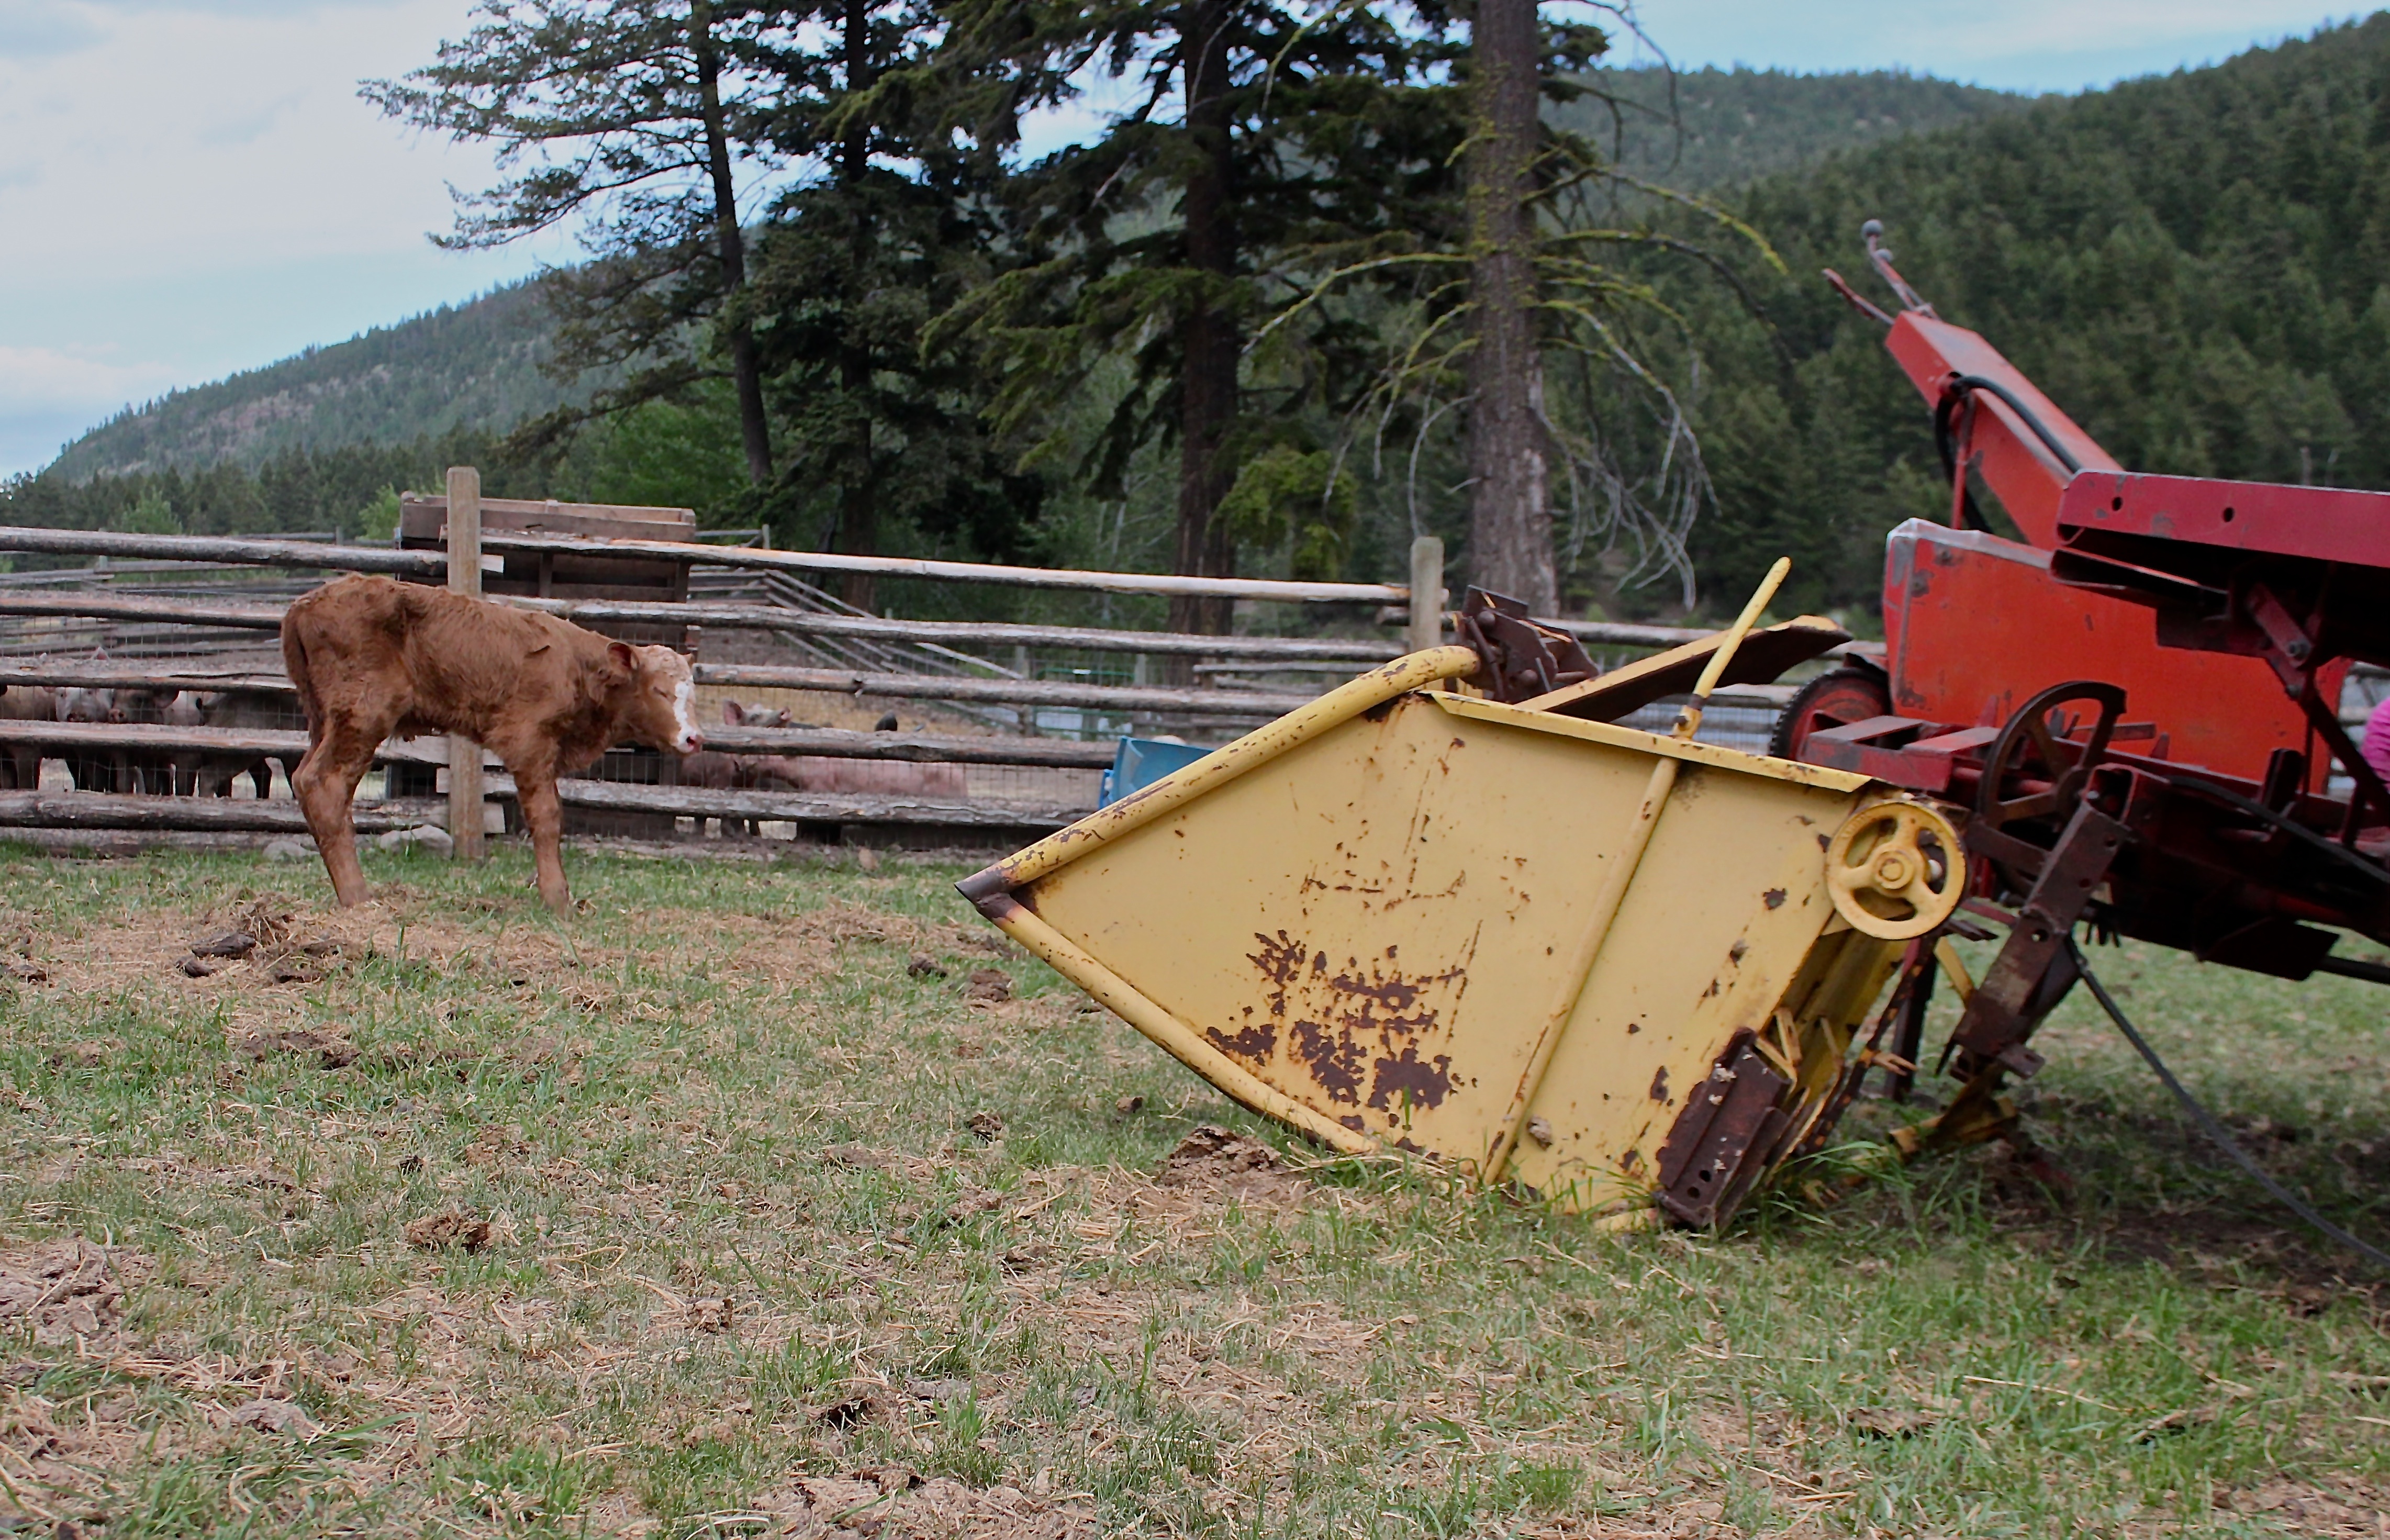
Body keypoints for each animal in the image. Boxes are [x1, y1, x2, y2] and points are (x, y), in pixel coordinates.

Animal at [282, 578, 698, 913]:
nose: (694, 738)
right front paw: (556, 898)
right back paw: (358, 897)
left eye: (692, 692)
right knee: (326, 784)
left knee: (303, 780)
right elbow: (547, 817)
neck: (576, 667)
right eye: (658, 690)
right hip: (363, 716)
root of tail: (306, 604)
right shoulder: (530, 742)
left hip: (326, 721)